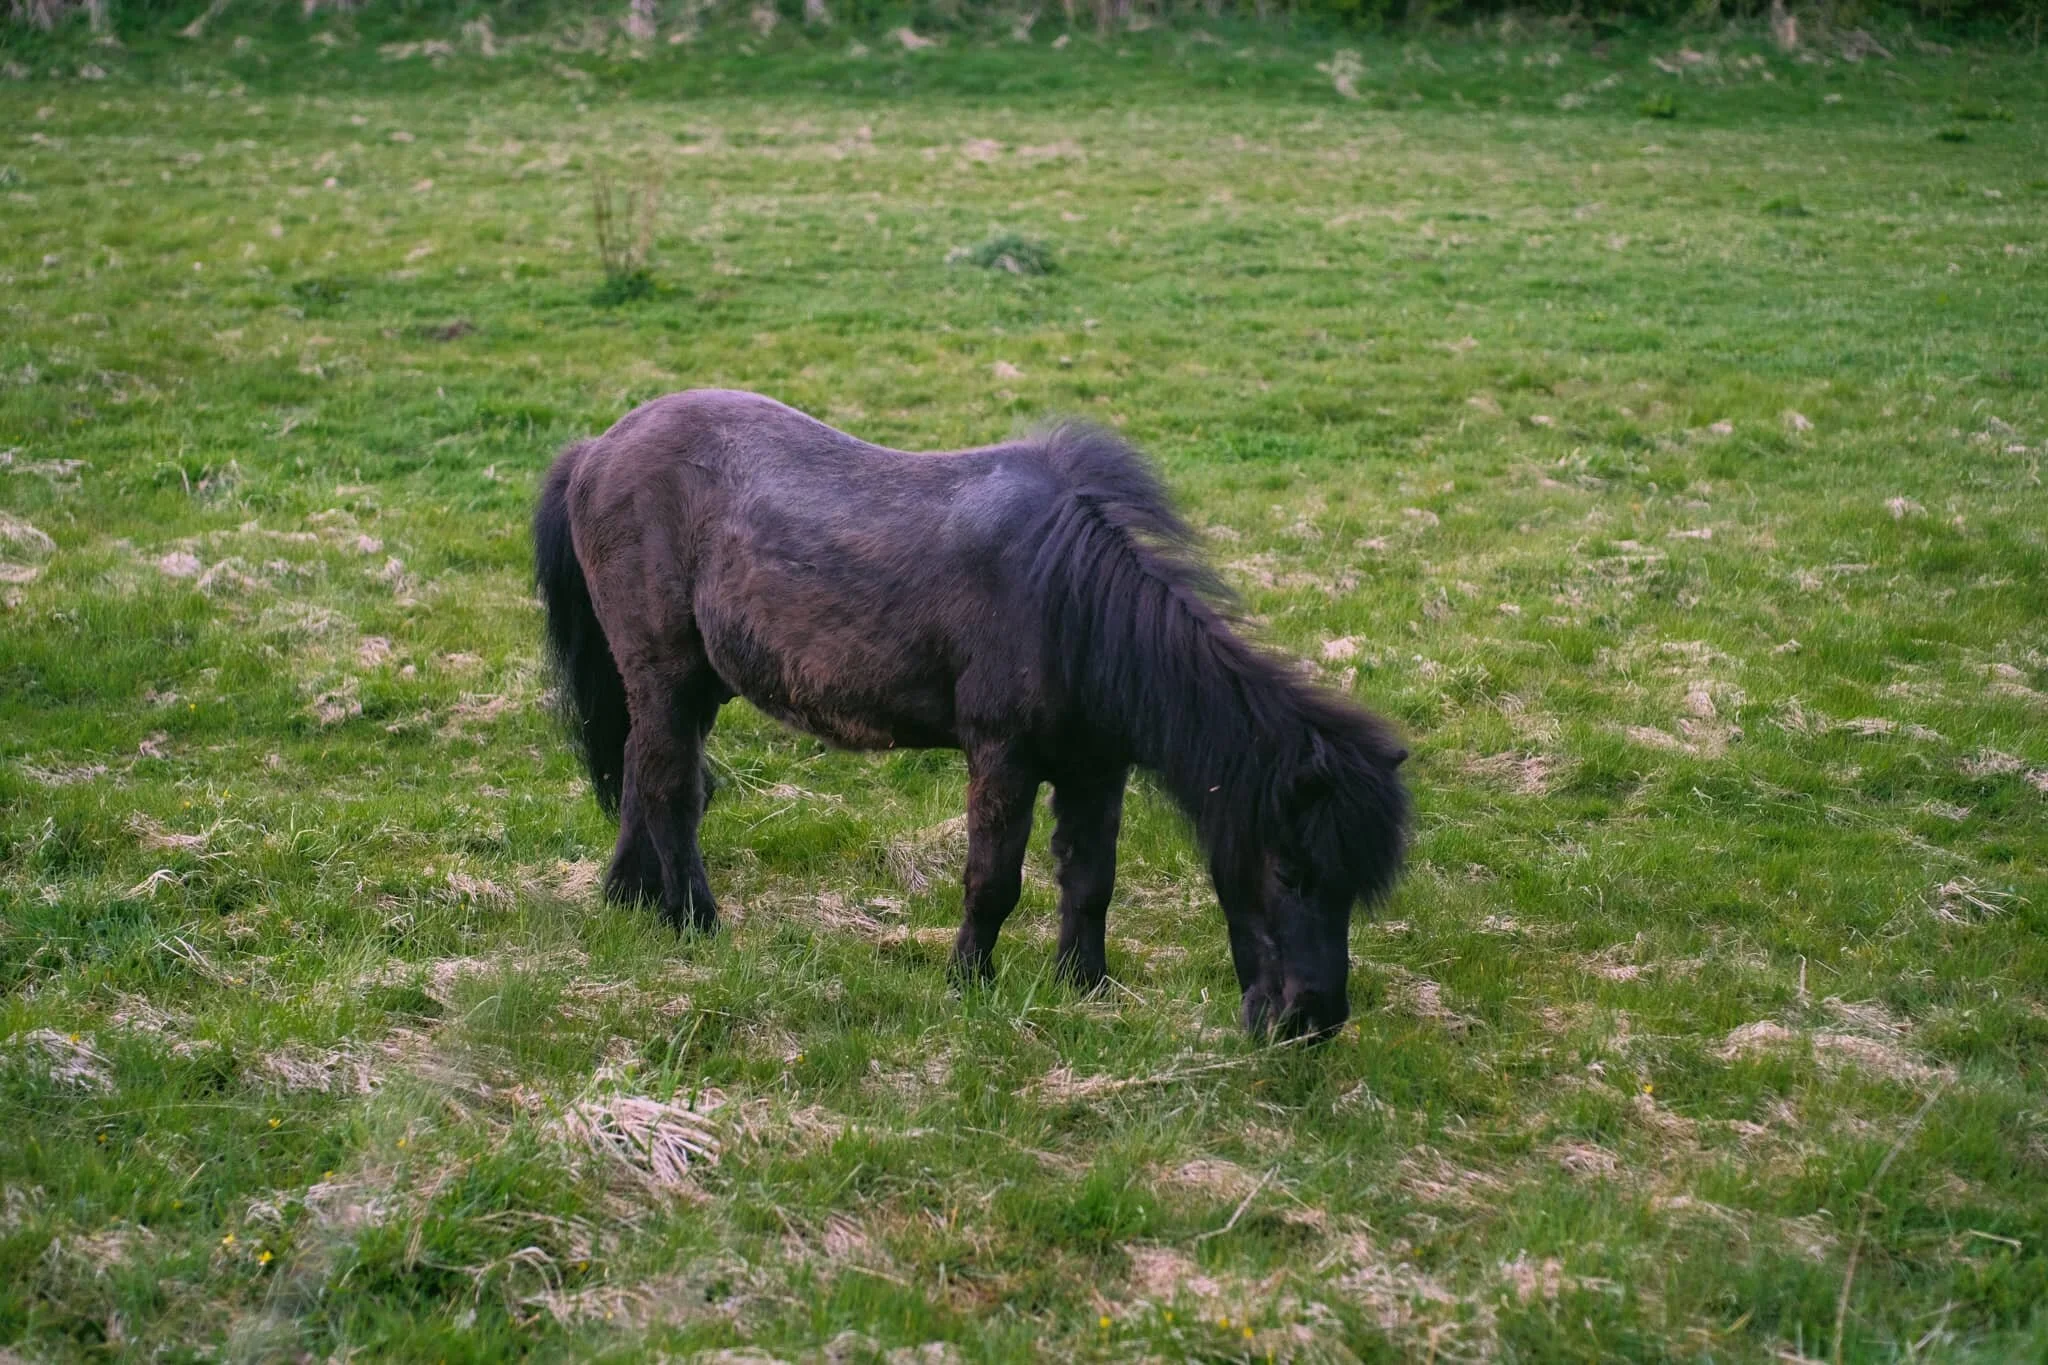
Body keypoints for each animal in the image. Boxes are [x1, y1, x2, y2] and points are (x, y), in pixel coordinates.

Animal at [533, 390, 1410, 1040]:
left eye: (1352, 887)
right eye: (1291, 869)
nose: (1313, 1020)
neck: (1067, 604)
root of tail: (596, 449)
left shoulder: (1097, 770)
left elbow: (1090, 880)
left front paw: (1084, 987)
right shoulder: (1002, 756)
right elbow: (993, 880)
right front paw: (969, 980)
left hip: (694, 689)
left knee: (644, 775)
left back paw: (630, 899)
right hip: (665, 672)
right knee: (673, 791)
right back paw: (696, 921)